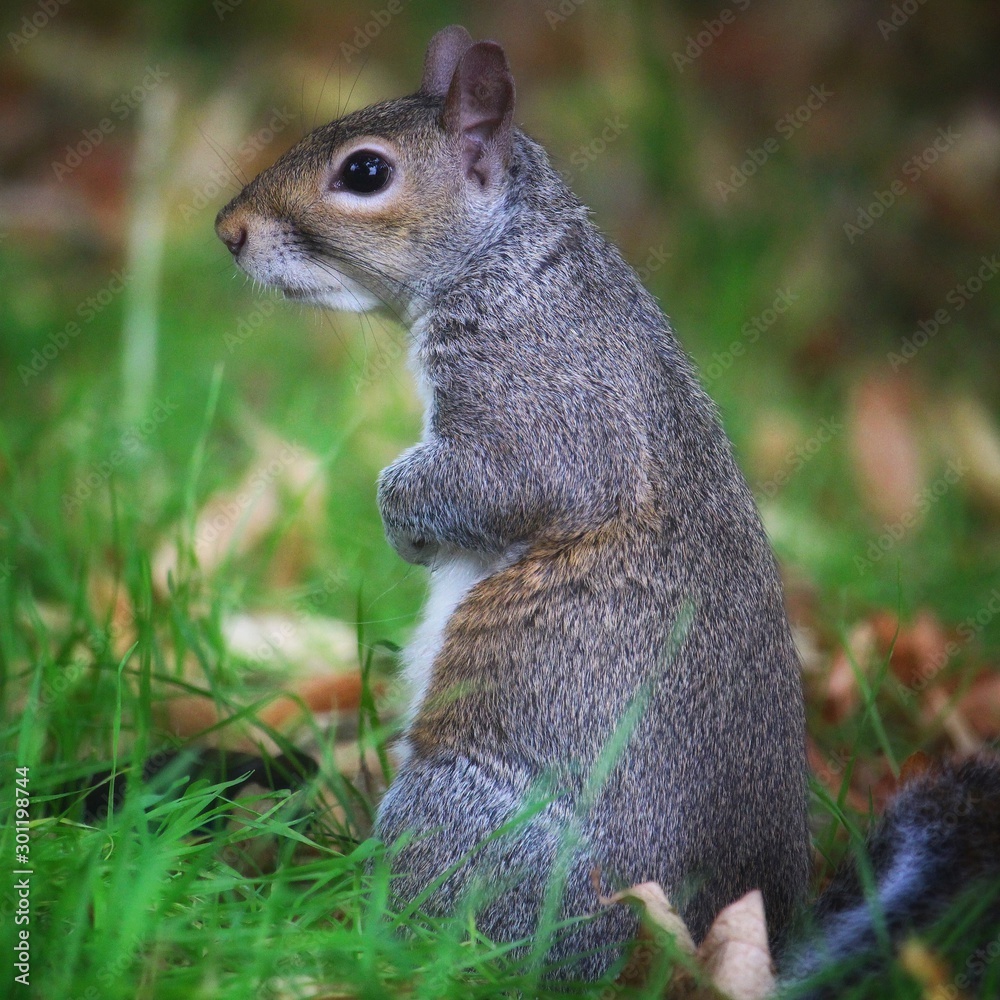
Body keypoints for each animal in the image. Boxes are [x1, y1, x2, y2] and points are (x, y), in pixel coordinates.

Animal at [214, 24, 812, 981]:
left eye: (366, 172)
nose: (228, 231)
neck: (512, 259)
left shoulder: (539, 402)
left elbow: (497, 480)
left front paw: (406, 524)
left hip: (466, 819)